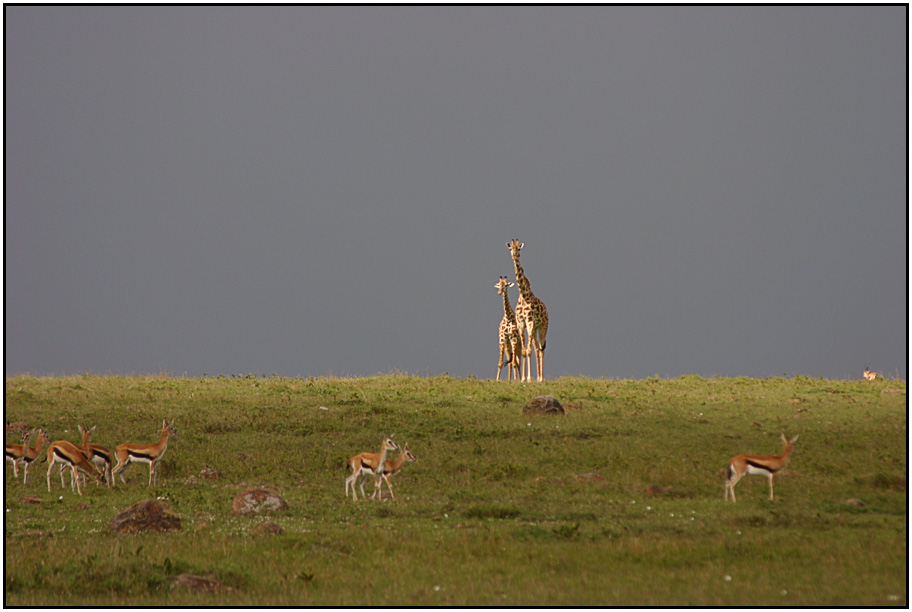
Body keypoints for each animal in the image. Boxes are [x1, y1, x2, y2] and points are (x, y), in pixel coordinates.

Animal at [506, 240, 548, 380]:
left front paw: (529, 378)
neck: (524, 296)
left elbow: (528, 350)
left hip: (542, 327)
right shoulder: (521, 323)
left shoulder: (530, 321)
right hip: (535, 329)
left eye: (519, 248)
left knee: (541, 349)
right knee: (537, 349)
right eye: (510, 249)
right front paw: (523, 378)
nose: (515, 256)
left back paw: (541, 378)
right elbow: (525, 351)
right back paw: (538, 377)